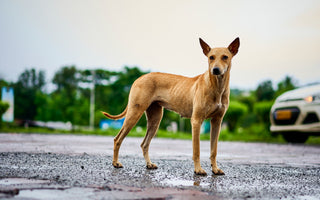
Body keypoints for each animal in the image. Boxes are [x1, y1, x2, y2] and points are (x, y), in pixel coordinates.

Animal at [101, 37, 239, 175]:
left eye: (225, 57)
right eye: (211, 57)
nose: (215, 70)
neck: (217, 86)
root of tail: (140, 78)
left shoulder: (217, 122)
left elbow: (213, 150)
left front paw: (215, 169)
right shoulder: (196, 121)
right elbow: (197, 150)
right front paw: (198, 169)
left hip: (155, 120)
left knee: (144, 144)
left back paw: (149, 164)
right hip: (134, 113)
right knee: (117, 139)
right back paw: (115, 163)